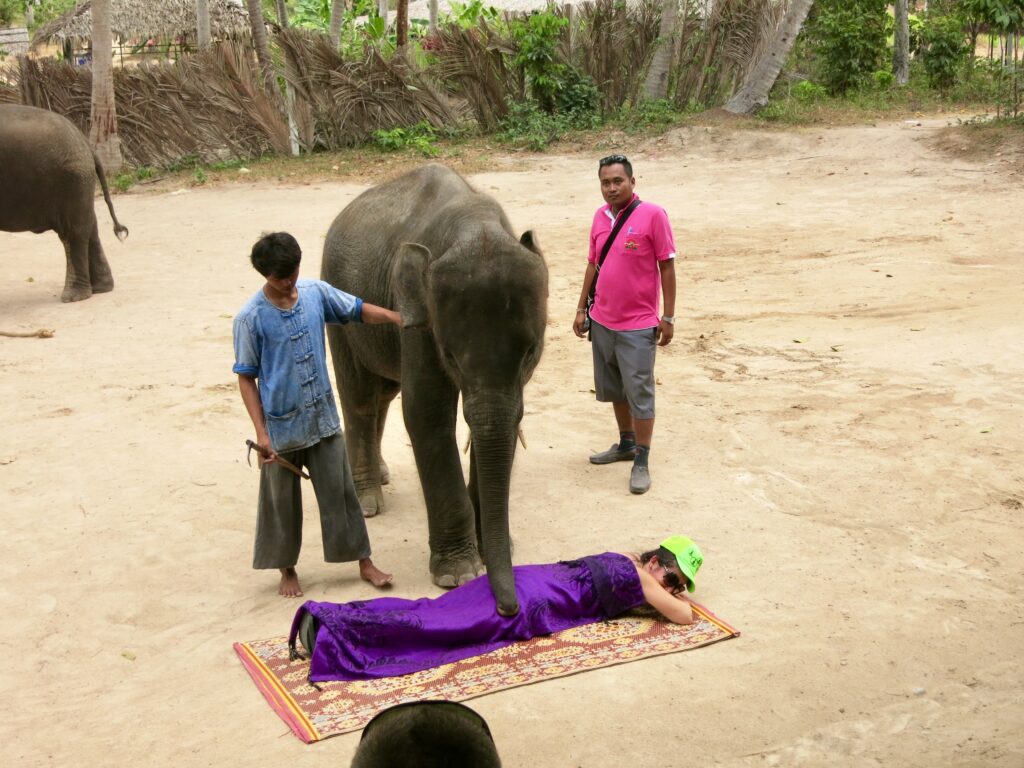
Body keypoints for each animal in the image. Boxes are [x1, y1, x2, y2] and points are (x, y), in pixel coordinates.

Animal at [0, 103, 129, 303]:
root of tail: (86, 143)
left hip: (71, 178)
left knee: (72, 232)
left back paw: (74, 297)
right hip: (79, 180)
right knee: (90, 226)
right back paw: (101, 288)